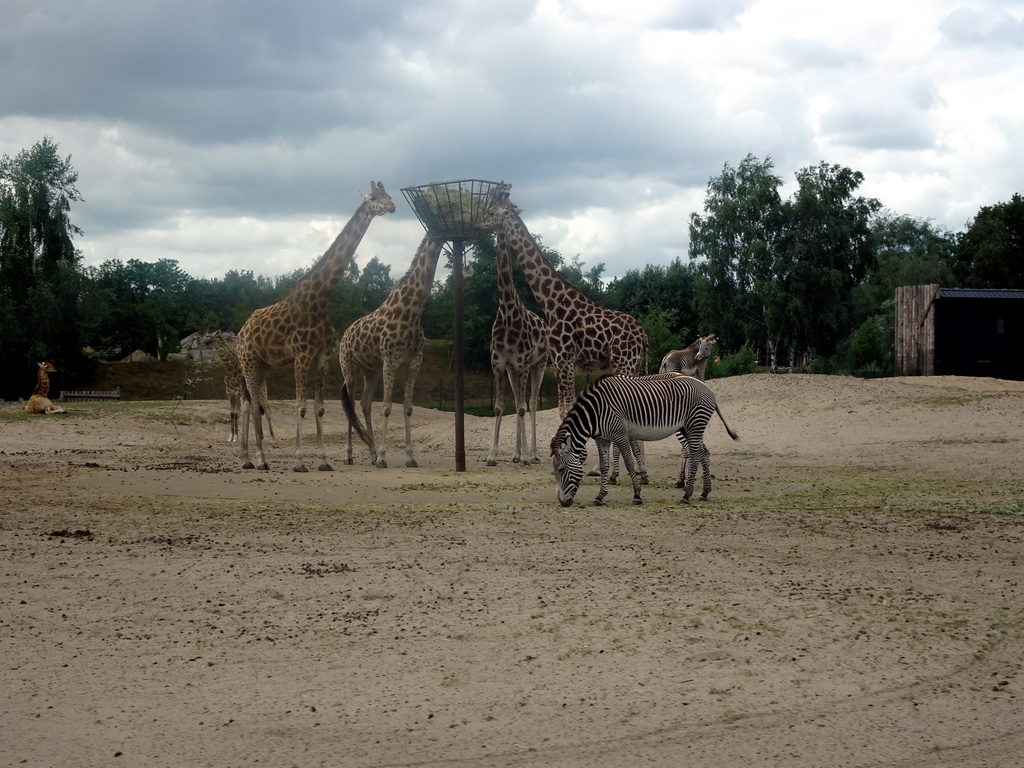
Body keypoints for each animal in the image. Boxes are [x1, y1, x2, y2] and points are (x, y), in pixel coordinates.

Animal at [234, 181, 391, 473]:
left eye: (389, 195)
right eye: (375, 197)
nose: (392, 206)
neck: (320, 299)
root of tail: (240, 333)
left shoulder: (322, 356)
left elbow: (318, 407)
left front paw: (324, 460)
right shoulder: (302, 354)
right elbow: (300, 406)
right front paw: (299, 461)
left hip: (262, 364)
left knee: (249, 403)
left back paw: (248, 459)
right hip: (248, 360)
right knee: (252, 403)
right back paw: (260, 459)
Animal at [342, 233, 442, 468]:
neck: (412, 312)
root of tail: (342, 338)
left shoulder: (414, 362)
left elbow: (407, 407)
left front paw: (410, 457)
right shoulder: (390, 361)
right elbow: (387, 407)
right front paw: (382, 457)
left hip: (370, 372)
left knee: (365, 404)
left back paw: (370, 453)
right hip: (349, 370)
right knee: (350, 405)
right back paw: (349, 455)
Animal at [483, 231, 548, 466]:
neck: (506, 313)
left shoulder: (522, 363)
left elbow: (522, 406)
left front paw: (527, 456)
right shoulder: (499, 364)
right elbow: (500, 406)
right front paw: (492, 455)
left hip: (539, 364)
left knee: (531, 403)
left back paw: (533, 454)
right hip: (513, 370)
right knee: (520, 400)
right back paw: (516, 454)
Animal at [552, 374, 737, 507]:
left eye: (561, 469)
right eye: (554, 471)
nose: (562, 502)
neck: (595, 412)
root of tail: (707, 388)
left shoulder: (620, 434)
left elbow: (629, 463)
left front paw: (637, 495)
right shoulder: (602, 439)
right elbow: (604, 466)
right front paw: (600, 496)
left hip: (694, 425)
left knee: (696, 455)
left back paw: (686, 495)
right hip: (687, 428)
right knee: (703, 453)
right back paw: (704, 493)